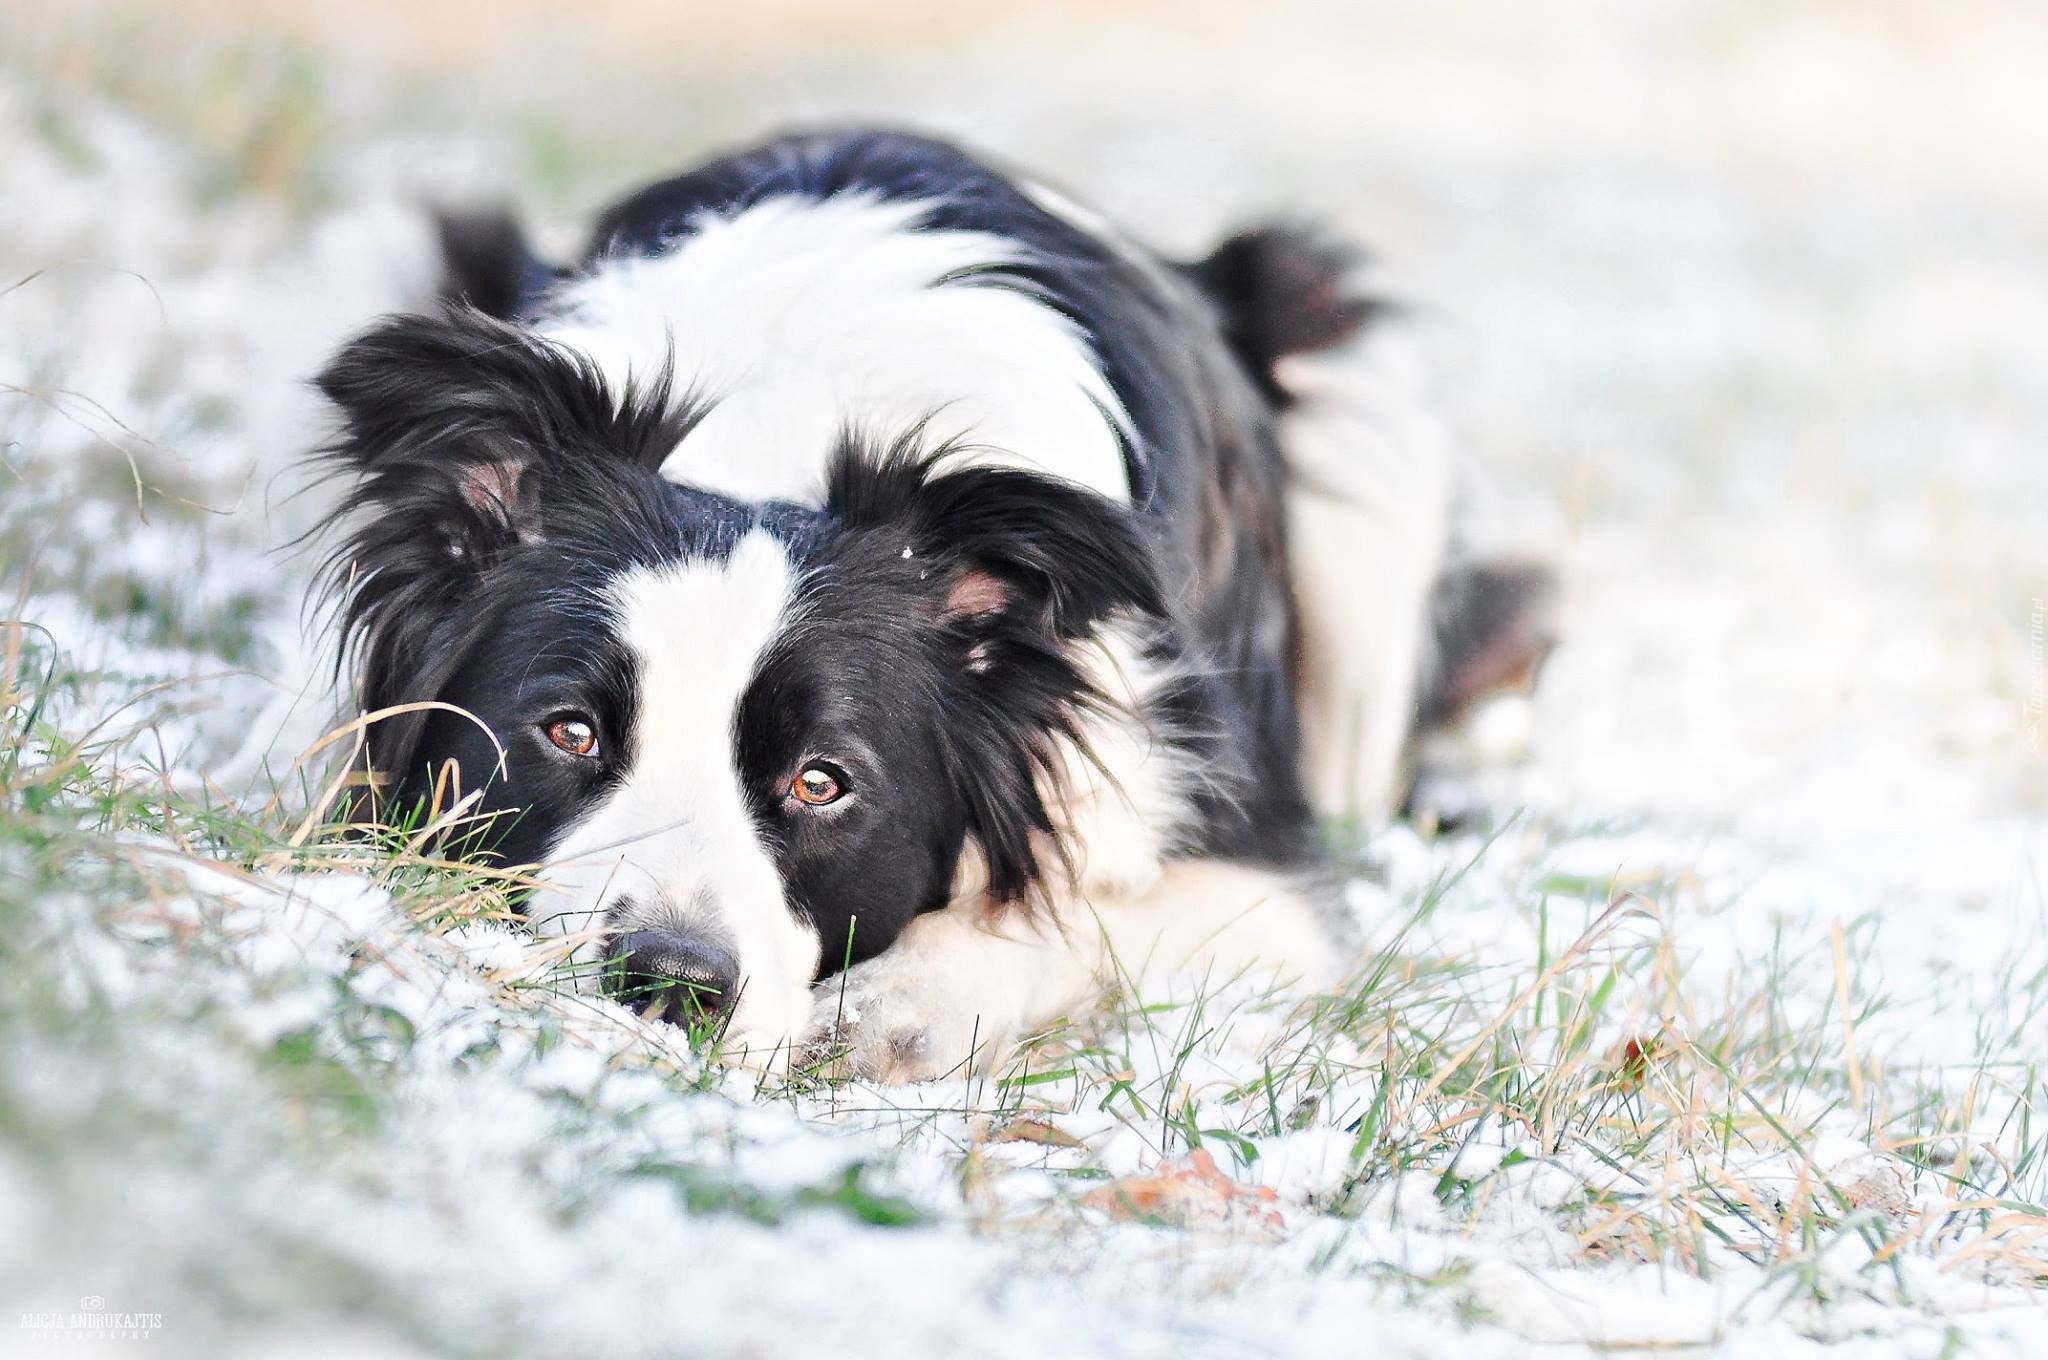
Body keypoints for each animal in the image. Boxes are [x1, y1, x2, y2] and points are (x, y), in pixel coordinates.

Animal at [311, 130, 1540, 1081]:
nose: (669, 981)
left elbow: (1070, 913)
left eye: (822, 781)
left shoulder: (1270, 889)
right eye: (569, 730)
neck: (784, 437)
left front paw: (895, 1005)